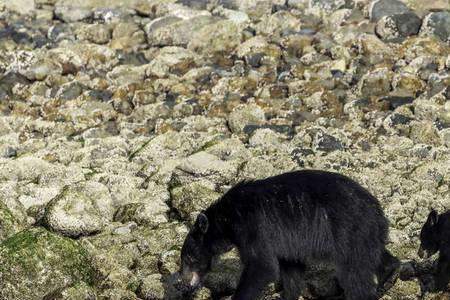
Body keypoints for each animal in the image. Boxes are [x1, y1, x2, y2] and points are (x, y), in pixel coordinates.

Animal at [179, 170, 398, 298]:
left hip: (347, 229)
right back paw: (389, 276)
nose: (183, 282)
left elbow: (262, 266)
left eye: (189, 258)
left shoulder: (253, 226)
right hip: (364, 233)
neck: (227, 218)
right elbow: (291, 270)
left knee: (354, 273)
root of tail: (377, 210)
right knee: (373, 256)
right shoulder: (287, 241)